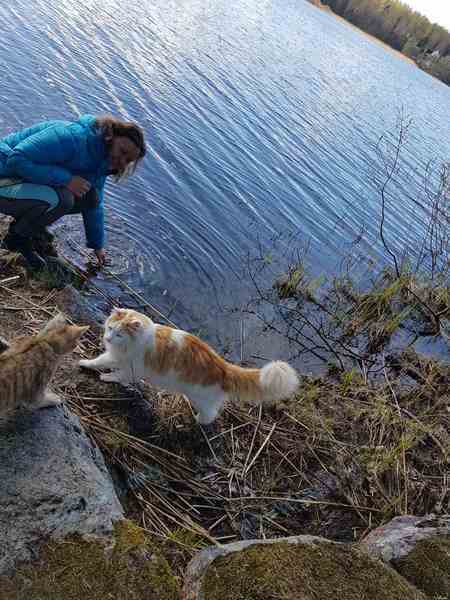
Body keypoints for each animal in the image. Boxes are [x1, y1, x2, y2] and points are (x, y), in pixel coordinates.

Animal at [81, 308, 298, 424]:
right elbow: (101, 361)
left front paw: (104, 376)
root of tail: (224, 367)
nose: (107, 338)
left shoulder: (132, 367)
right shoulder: (117, 357)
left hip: (201, 399)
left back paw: (198, 420)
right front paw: (87, 363)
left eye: (119, 334)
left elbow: (116, 373)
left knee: (211, 415)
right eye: (110, 328)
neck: (138, 340)